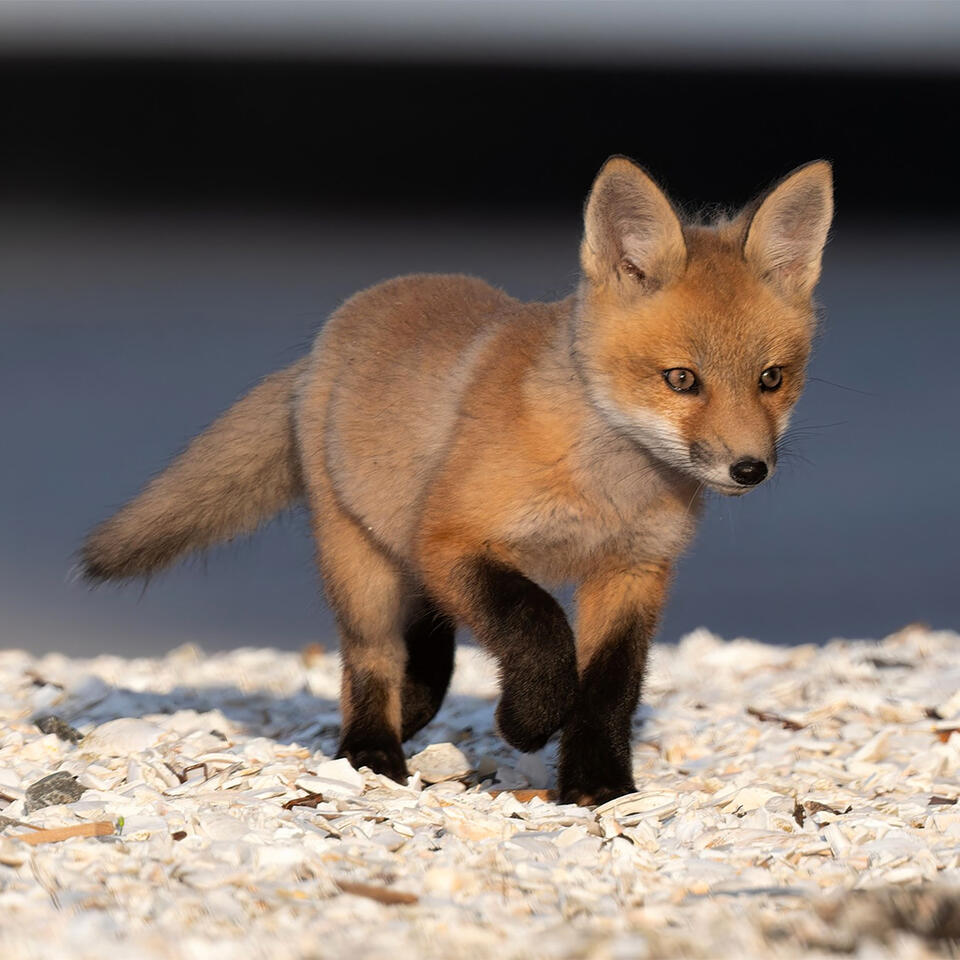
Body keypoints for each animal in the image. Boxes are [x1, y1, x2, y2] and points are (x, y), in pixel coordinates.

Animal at [81, 156, 833, 805]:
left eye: (771, 379)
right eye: (682, 380)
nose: (750, 468)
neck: (605, 492)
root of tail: (329, 338)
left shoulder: (633, 571)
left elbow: (611, 689)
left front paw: (598, 786)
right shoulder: (453, 540)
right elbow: (538, 625)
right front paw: (529, 720)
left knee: (428, 645)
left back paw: (410, 714)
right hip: (362, 567)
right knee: (373, 659)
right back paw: (371, 750)